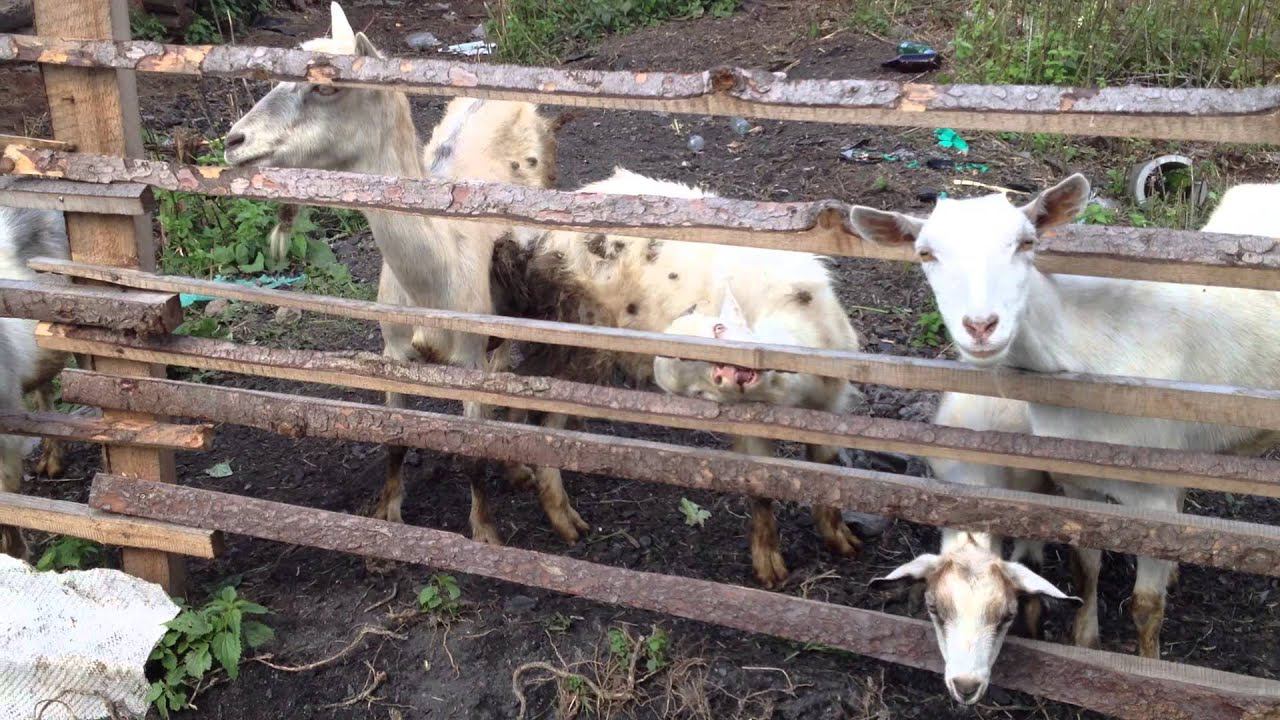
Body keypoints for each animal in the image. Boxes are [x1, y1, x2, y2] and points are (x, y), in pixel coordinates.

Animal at [223, 2, 584, 546]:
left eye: (327, 87)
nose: (233, 141)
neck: (433, 275)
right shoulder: (391, 350)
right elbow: (392, 440)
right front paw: (387, 516)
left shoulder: (469, 358)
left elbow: (472, 454)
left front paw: (485, 533)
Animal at [523, 167, 868, 587]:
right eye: (697, 392)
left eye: (719, 330)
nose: (723, 374)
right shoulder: (749, 424)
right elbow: (762, 489)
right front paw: (770, 574)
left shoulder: (832, 405)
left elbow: (827, 470)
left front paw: (846, 544)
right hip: (574, 337)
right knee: (542, 421)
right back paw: (571, 527)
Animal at [850, 178, 1280, 675]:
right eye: (925, 253)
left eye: (1026, 243)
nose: (981, 326)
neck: (1087, 348)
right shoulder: (1078, 486)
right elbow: (1084, 570)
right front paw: (1084, 644)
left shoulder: (1150, 498)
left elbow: (1146, 605)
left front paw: (1149, 666)